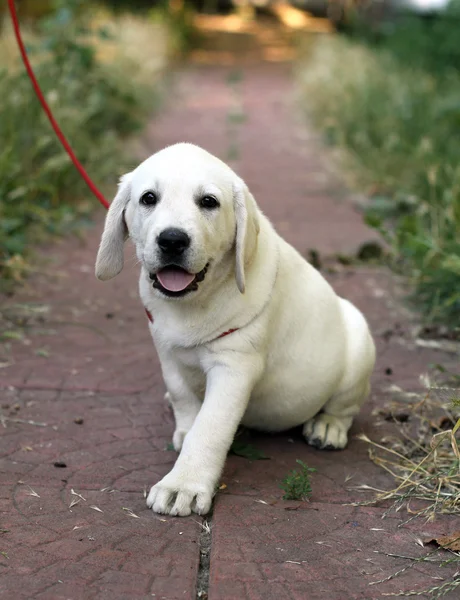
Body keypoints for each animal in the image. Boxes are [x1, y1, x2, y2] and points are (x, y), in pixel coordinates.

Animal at [95, 144, 376, 516]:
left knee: (344, 406)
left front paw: (182, 484)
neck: (194, 302)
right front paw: (184, 429)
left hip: (358, 345)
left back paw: (328, 427)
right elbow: (183, 397)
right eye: (148, 198)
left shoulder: (234, 367)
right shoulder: (167, 353)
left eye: (209, 202)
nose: (172, 240)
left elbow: (210, 428)